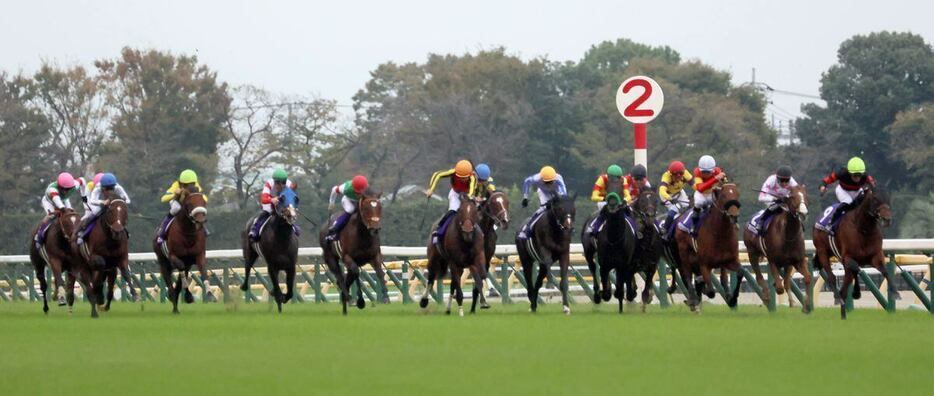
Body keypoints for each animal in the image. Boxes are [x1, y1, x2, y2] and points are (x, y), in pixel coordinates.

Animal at [580, 179, 640, 312]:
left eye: (621, 189)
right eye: (607, 188)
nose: (612, 203)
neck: (614, 238)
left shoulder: (625, 263)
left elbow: (624, 282)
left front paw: (628, 294)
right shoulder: (605, 263)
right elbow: (607, 289)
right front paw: (606, 292)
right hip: (589, 252)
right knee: (593, 267)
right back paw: (597, 295)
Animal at [672, 183, 744, 312]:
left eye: (737, 194)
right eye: (724, 195)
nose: (734, 216)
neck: (720, 233)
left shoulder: (730, 260)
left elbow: (740, 272)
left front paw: (733, 299)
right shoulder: (704, 264)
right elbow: (711, 292)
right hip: (684, 253)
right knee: (687, 274)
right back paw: (693, 298)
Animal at [816, 185, 896, 318]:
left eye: (888, 199)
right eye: (875, 199)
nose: (887, 219)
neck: (863, 229)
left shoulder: (875, 256)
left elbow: (884, 271)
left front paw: (895, 292)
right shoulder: (848, 257)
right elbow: (858, 269)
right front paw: (856, 292)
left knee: (845, 286)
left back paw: (843, 312)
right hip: (822, 251)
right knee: (832, 276)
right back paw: (838, 297)